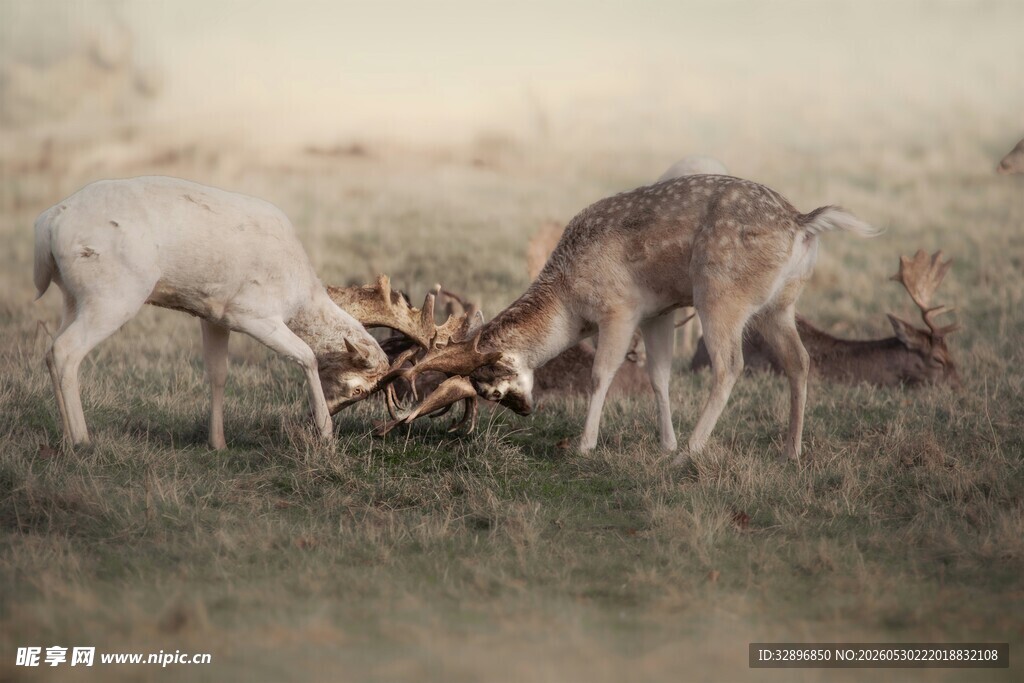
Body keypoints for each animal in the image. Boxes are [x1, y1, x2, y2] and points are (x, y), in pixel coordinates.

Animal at [33, 176, 473, 449]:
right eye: (362, 389)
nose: (324, 416)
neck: (299, 291)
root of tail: (47, 225)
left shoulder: (212, 314)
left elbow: (218, 373)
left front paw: (218, 443)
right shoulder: (250, 312)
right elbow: (307, 355)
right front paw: (326, 433)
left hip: (73, 297)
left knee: (51, 350)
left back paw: (63, 437)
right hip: (114, 294)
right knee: (66, 351)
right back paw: (82, 440)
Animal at [375, 174, 880, 463]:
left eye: (490, 386)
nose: (526, 410)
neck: (570, 299)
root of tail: (803, 223)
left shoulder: (619, 310)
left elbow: (602, 374)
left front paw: (586, 444)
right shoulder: (657, 313)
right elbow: (659, 376)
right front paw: (665, 441)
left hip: (720, 295)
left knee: (730, 365)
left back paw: (694, 450)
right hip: (780, 305)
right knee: (800, 361)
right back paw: (791, 451)